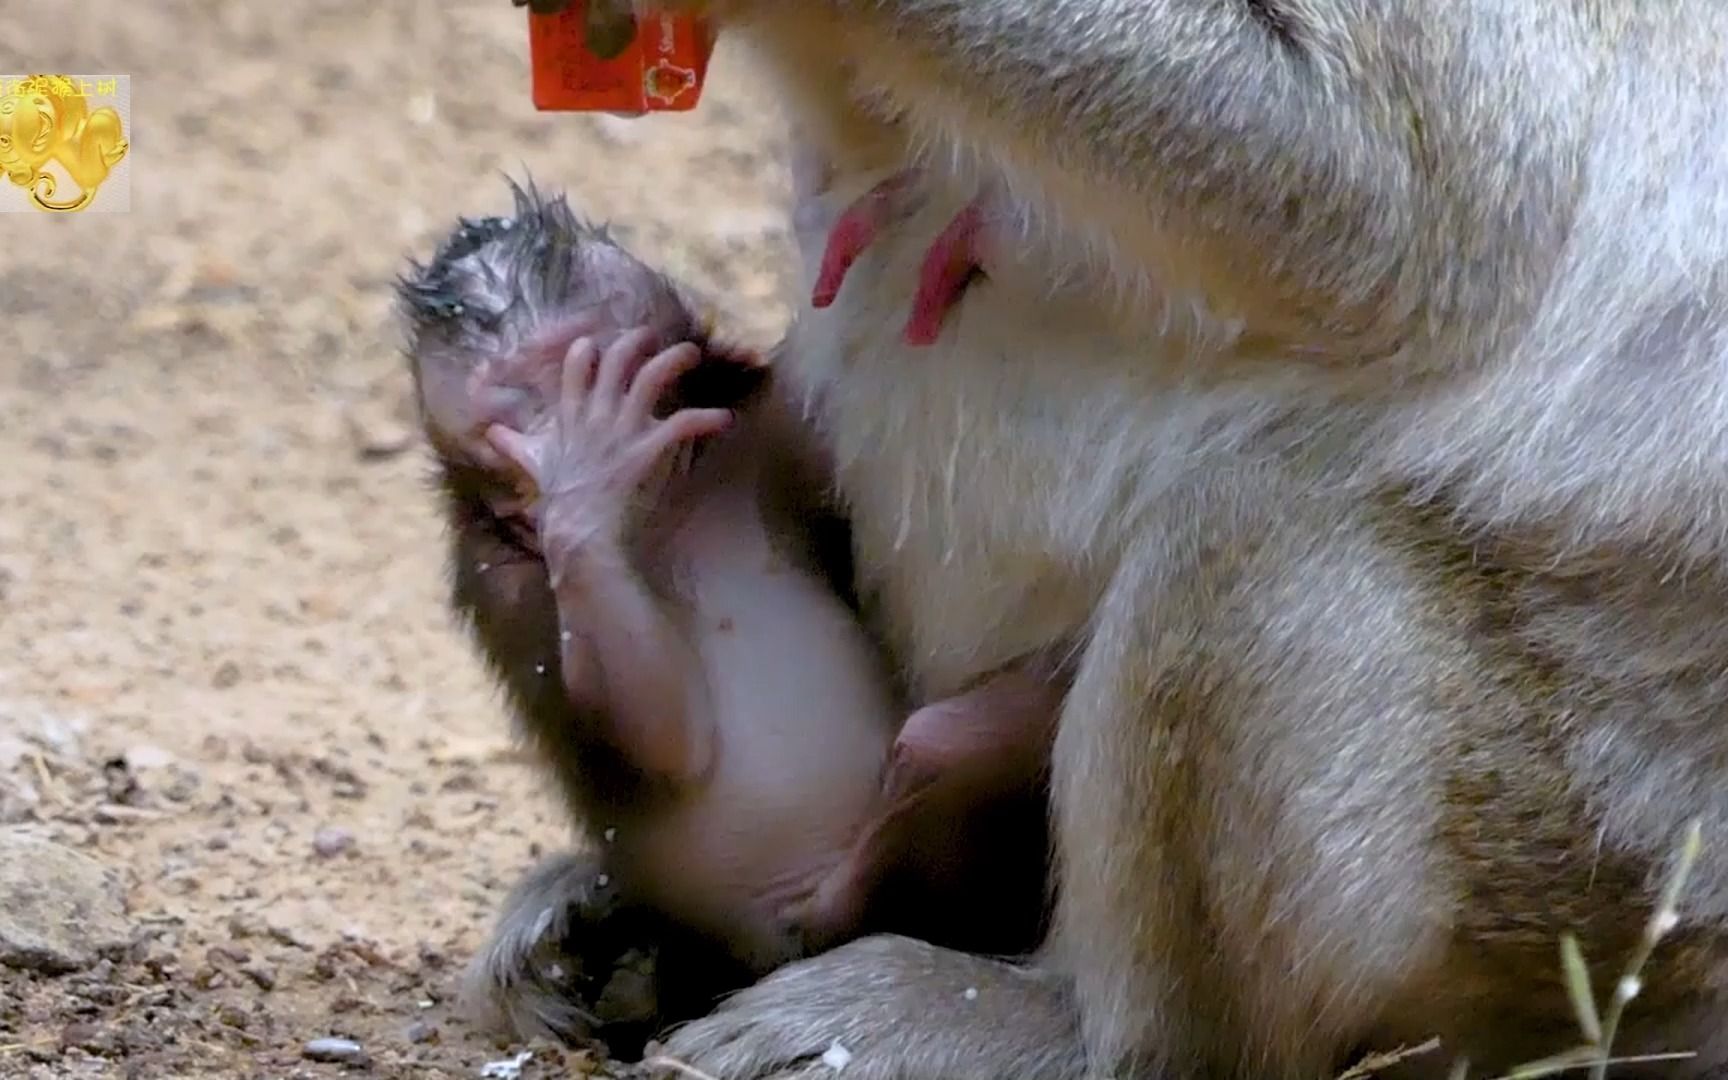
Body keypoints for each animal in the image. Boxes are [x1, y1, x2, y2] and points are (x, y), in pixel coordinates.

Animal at [399, 184, 1057, 1043]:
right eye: (504, 446)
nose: (541, 486)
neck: (668, 509)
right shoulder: (501, 576)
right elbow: (661, 737)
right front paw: (586, 491)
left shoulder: (775, 425)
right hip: (813, 924)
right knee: (950, 745)